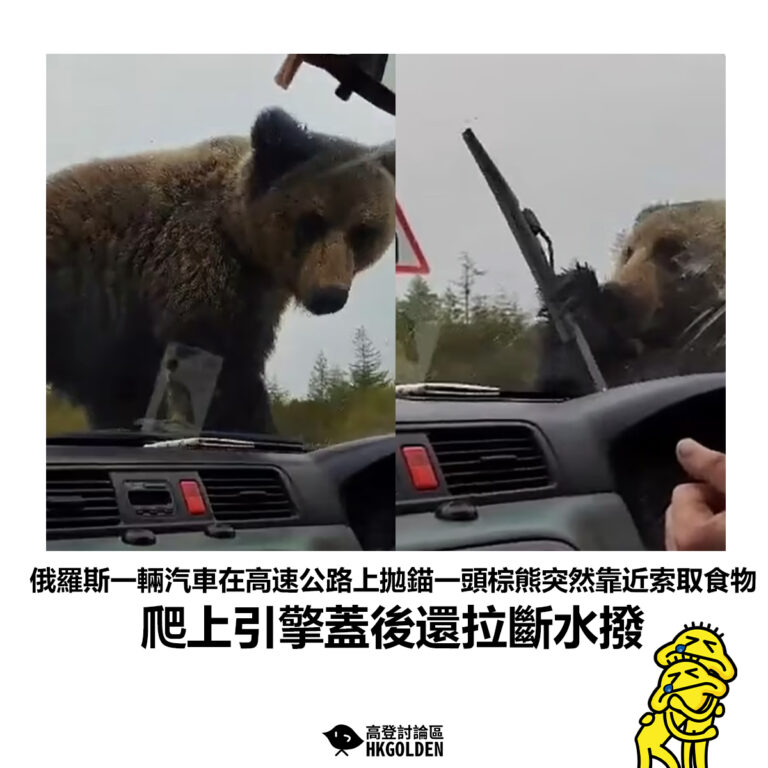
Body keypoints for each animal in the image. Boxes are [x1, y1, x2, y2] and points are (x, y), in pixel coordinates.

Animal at [47, 108, 395, 434]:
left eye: (363, 231)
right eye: (311, 221)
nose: (329, 295)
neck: (244, 241)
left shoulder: (256, 298)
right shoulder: (194, 266)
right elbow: (218, 363)